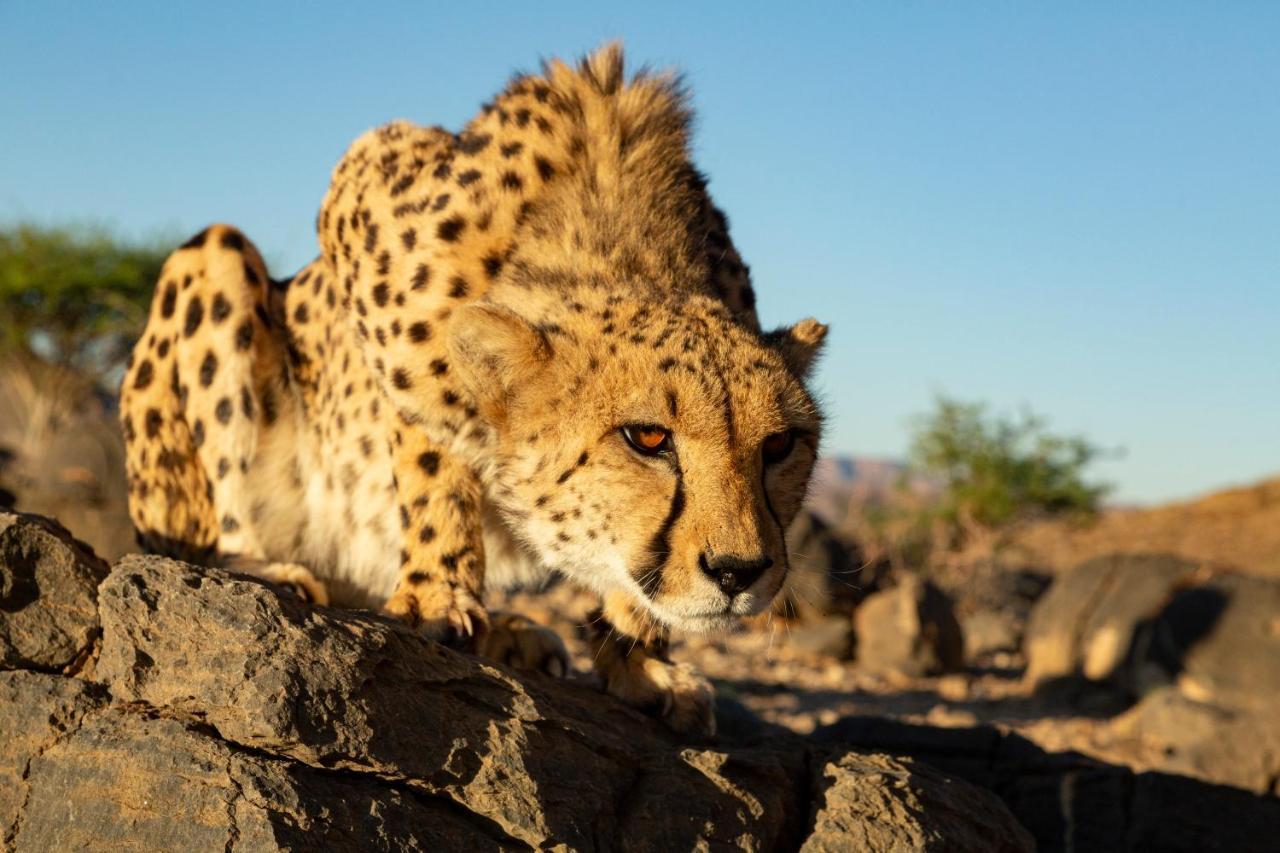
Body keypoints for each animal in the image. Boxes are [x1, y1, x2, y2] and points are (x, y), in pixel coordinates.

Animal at [122, 44, 829, 732]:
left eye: (779, 447)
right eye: (648, 438)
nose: (738, 571)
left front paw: (640, 658)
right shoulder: (365, 187)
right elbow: (432, 445)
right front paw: (438, 596)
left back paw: (513, 632)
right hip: (211, 260)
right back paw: (269, 569)